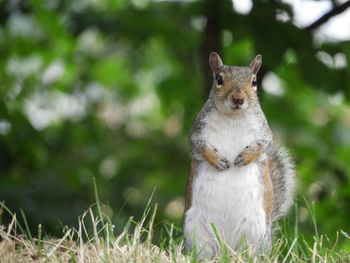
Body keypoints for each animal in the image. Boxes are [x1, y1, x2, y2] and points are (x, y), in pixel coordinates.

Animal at [183, 52, 296, 258]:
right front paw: (216, 160)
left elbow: (264, 145)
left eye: (254, 81)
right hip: (196, 232)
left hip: (255, 233)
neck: (233, 117)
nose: (238, 98)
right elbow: (199, 146)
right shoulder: (197, 131)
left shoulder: (264, 133)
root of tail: (227, 249)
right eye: (219, 79)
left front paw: (246, 157)